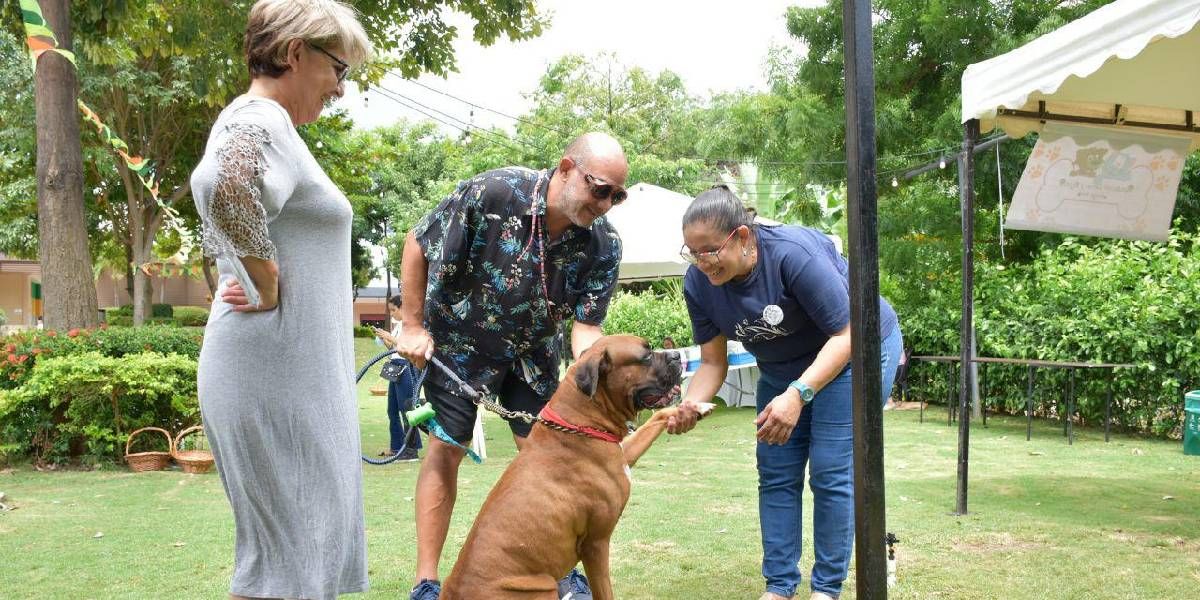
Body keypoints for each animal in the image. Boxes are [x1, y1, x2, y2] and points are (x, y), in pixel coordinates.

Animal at [441, 336, 705, 597]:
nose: (677, 356)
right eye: (646, 356)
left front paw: (694, 407)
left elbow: (655, 419)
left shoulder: (624, 452)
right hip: (543, 586)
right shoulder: (596, 545)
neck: (581, 420)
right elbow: (604, 591)